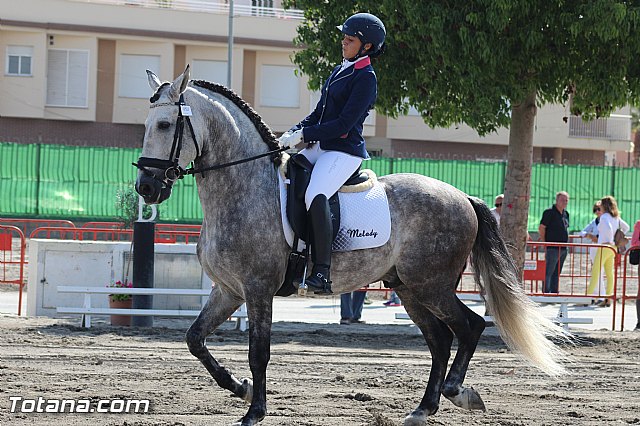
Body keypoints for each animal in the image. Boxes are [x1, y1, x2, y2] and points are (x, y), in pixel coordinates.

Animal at [134, 66, 569, 426]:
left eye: (165, 124)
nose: (146, 188)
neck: (243, 188)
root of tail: (462, 196)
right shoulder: (227, 290)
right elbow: (195, 339)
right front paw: (239, 388)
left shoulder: (258, 290)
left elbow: (259, 352)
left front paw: (254, 412)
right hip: (409, 289)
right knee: (440, 340)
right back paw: (422, 409)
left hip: (432, 284)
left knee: (470, 327)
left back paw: (458, 394)